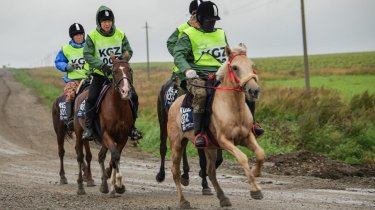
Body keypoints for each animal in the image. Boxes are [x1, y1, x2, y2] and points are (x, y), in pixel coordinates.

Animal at [73, 52, 134, 197]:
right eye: (114, 71)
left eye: (130, 70)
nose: (125, 91)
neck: (118, 107)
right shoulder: (107, 134)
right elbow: (115, 155)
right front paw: (118, 184)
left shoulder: (123, 136)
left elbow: (114, 157)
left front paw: (114, 186)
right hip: (79, 132)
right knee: (80, 156)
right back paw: (81, 187)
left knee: (101, 156)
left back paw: (104, 185)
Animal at [166, 44, 266, 208]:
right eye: (235, 67)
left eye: (252, 65)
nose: (254, 90)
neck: (233, 108)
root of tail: (174, 103)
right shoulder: (225, 141)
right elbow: (243, 157)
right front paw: (255, 190)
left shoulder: (247, 137)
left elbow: (260, 154)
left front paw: (256, 172)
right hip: (177, 144)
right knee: (175, 171)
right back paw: (183, 201)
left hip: (210, 147)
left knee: (211, 172)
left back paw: (223, 198)